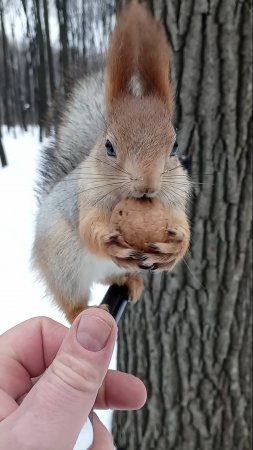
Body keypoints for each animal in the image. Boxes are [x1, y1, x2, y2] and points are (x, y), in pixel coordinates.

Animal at [31, 0, 190, 324]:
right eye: (109, 146)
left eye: (175, 146)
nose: (147, 185)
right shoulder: (86, 196)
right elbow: (88, 227)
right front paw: (105, 238)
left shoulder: (176, 196)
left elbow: (182, 223)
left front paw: (177, 245)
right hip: (63, 261)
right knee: (70, 300)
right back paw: (82, 312)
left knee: (107, 277)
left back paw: (129, 281)